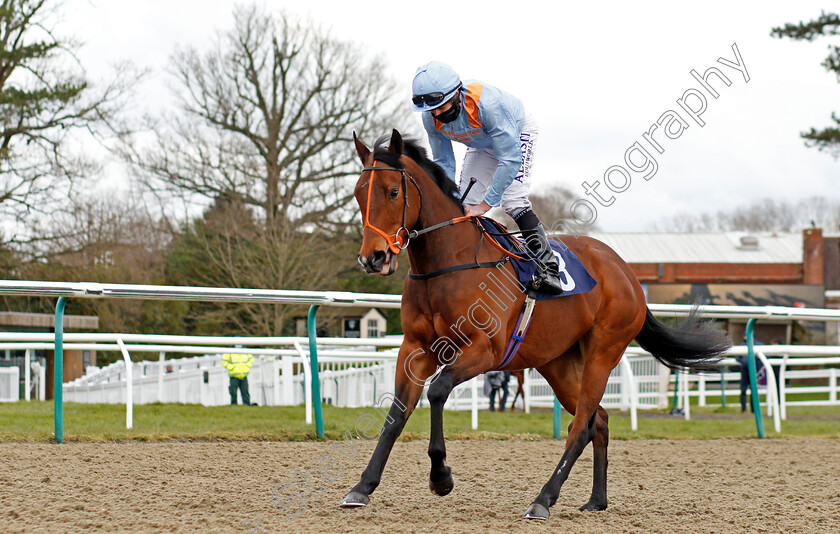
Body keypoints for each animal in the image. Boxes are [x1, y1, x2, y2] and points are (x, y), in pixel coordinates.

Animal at [342, 131, 728, 524]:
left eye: (392, 191)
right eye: (358, 192)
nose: (373, 258)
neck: (449, 263)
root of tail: (626, 271)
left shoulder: (484, 349)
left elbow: (437, 391)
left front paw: (441, 477)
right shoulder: (416, 348)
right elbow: (396, 414)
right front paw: (362, 487)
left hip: (603, 352)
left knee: (581, 426)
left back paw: (543, 499)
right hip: (558, 363)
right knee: (599, 420)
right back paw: (596, 499)